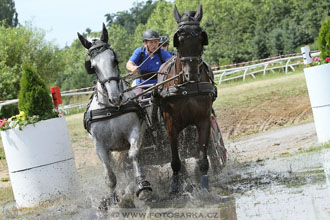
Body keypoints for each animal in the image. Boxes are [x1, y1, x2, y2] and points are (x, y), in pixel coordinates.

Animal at [77, 24, 152, 208]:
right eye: (93, 67)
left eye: (115, 60)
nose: (115, 97)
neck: (111, 108)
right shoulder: (99, 145)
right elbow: (110, 175)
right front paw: (112, 198)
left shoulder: (134, 132)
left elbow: (134, 155)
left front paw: (142, 186)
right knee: (115, 167)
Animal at [156, 5, 218, 192]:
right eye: (179, 40)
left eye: (200, 39)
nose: (192, 74)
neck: (187, 87)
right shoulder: (171, 125)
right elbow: (175, 159)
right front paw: (175, 185)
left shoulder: (203, 120)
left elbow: (203, 155)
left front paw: (204, 184)